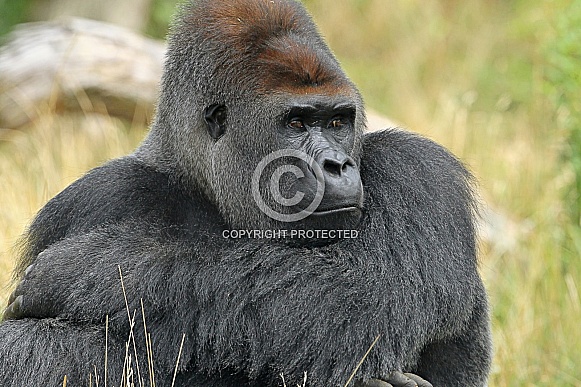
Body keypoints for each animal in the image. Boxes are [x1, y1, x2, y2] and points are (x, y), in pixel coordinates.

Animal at [0, 0, 492, 386]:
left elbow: (373, 292)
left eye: (338, 121)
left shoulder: (419, 170)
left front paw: (96, 271)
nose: (337, 164)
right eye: (296, 124)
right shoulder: (98, 196)